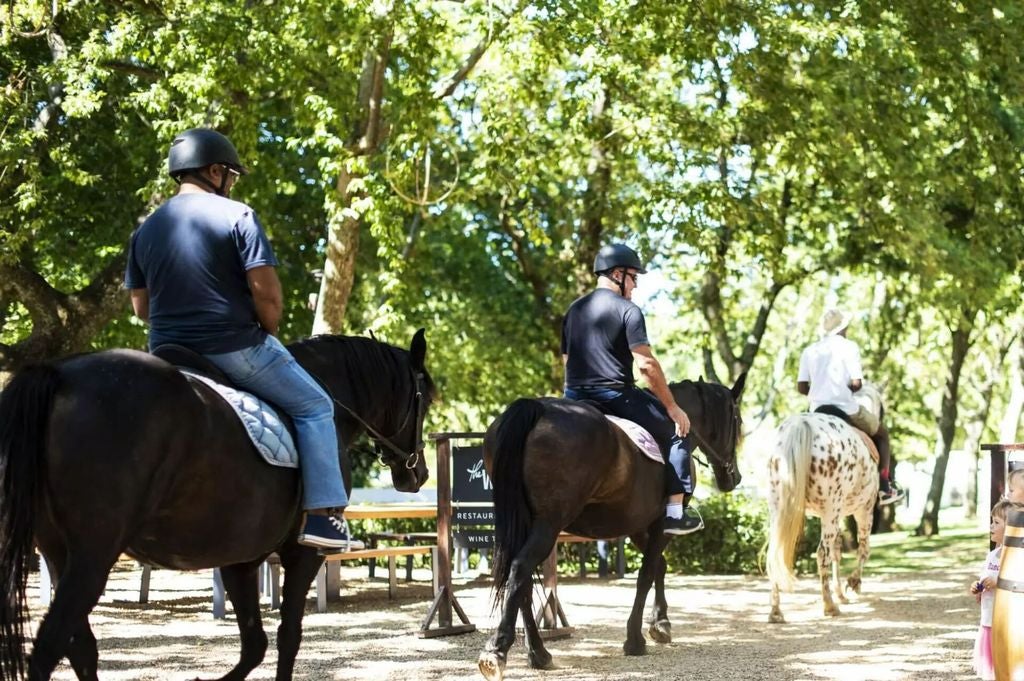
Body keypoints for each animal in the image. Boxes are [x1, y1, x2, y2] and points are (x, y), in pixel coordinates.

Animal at [0, 329, 436, 679]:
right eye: (426, 400)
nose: (418, 474)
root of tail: (58, 375)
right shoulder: (303, 554)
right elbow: (288, 637)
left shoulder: (240, 559)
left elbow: (255, 644)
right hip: (93, 556)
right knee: (49, 649)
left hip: (59, 553)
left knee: (80, 649)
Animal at [479, 374, 745, 675]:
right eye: (737, 421)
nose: (733, 477)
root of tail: (537, 409)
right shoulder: (659, 524)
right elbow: (647, 573)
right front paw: (635, 639)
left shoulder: (637, 525)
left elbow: (659, 567)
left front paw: (660, 623)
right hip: (548, 524)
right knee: (520, 568)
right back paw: (498, 650)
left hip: (526, 523)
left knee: (520, 579)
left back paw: (538, 653)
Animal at [765, 382, 884, 622]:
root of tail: (799, 425)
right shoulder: (864, 510)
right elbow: (863, 548)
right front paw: (853, 583)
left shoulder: (838, 516)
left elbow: (838, 551)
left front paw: (841, 592)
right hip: (832, 510)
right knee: (822, 553)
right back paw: (829, 605)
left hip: (778, 509)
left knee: (775, 553)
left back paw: (776, 611)